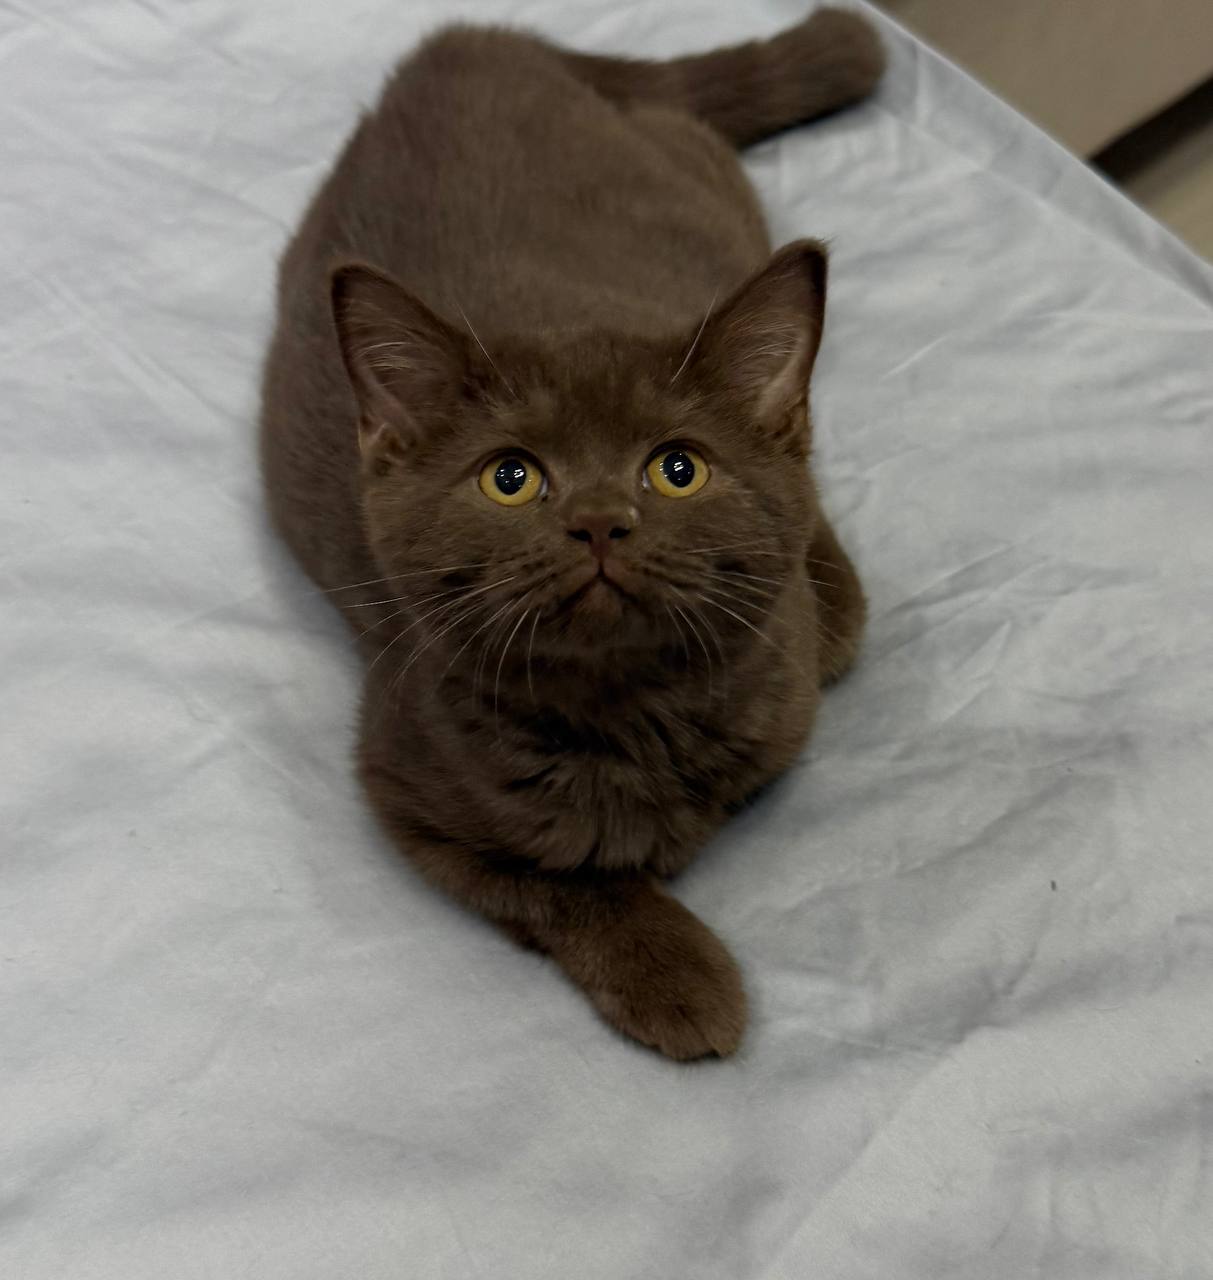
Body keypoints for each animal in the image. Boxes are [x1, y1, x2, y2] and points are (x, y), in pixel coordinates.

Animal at [260, 7, 881, 1059]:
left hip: (711, 189)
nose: (598, 521)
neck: (631, 716)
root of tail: (463, 46)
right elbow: (560, 881)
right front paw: (678, 976)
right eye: (510, 478)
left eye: (677, 469)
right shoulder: (403, 779)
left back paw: (834, 598)